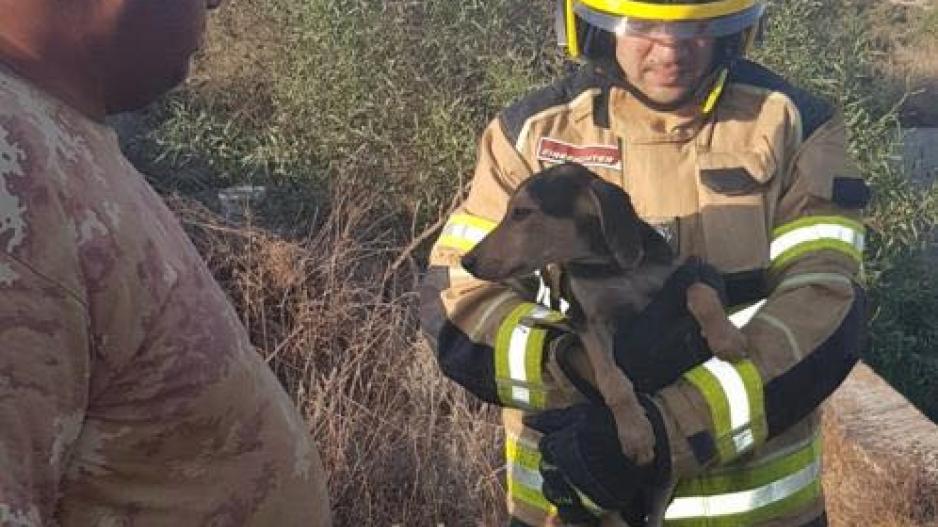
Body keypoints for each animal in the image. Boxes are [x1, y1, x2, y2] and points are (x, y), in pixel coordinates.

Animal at [458, 164, 744, 524]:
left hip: (665, 483)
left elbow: (700, 291)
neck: (609, 267)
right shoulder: (588, 324)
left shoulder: (674, 280)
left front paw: (726, 336)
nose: (466, 261)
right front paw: (635, 432)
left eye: (521, 213)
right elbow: (612, 380)